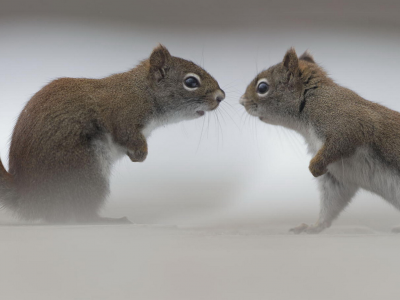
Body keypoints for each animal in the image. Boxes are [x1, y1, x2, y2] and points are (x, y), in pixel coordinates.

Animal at [0, 44, 225, 223]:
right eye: (191, 82)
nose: (221, 96)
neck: (143, 91)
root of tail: (29, 199)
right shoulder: (124, 116)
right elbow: (126, 134)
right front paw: (141, 155)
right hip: (85, 170)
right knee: (82, 215)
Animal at [241, 48, 400, 233]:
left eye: (262, 87)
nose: (241, 101)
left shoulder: (348, 124)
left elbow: (341, 142)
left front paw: (314, 167)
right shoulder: (337, 177)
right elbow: (332, 202)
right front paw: (314, 227)